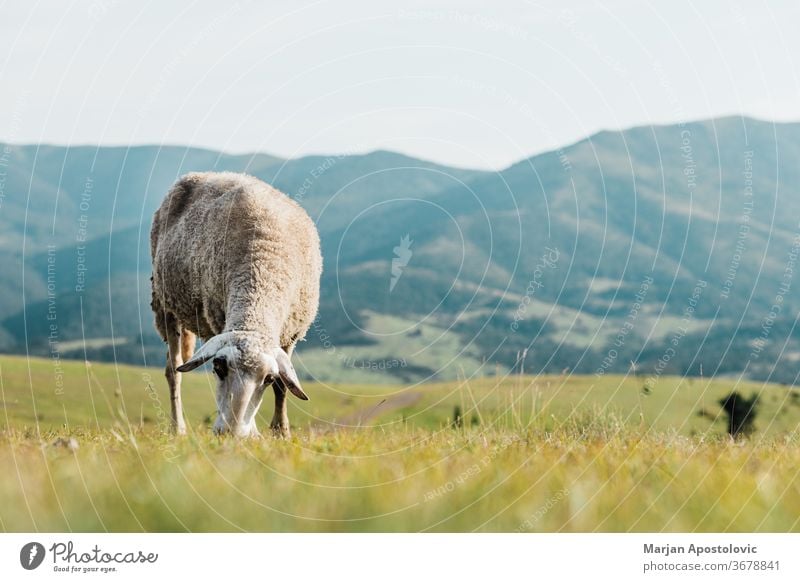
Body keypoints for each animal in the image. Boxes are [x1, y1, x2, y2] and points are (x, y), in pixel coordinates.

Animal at [150, 172, 322, 438]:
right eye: (218, 366)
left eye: (268, 378)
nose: (231, 433)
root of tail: (201, 174)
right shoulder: (215, 318)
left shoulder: (291, 334)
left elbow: (283, 386)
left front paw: (280, 431)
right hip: (165, 301)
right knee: (173, 371)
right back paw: (177, 427)